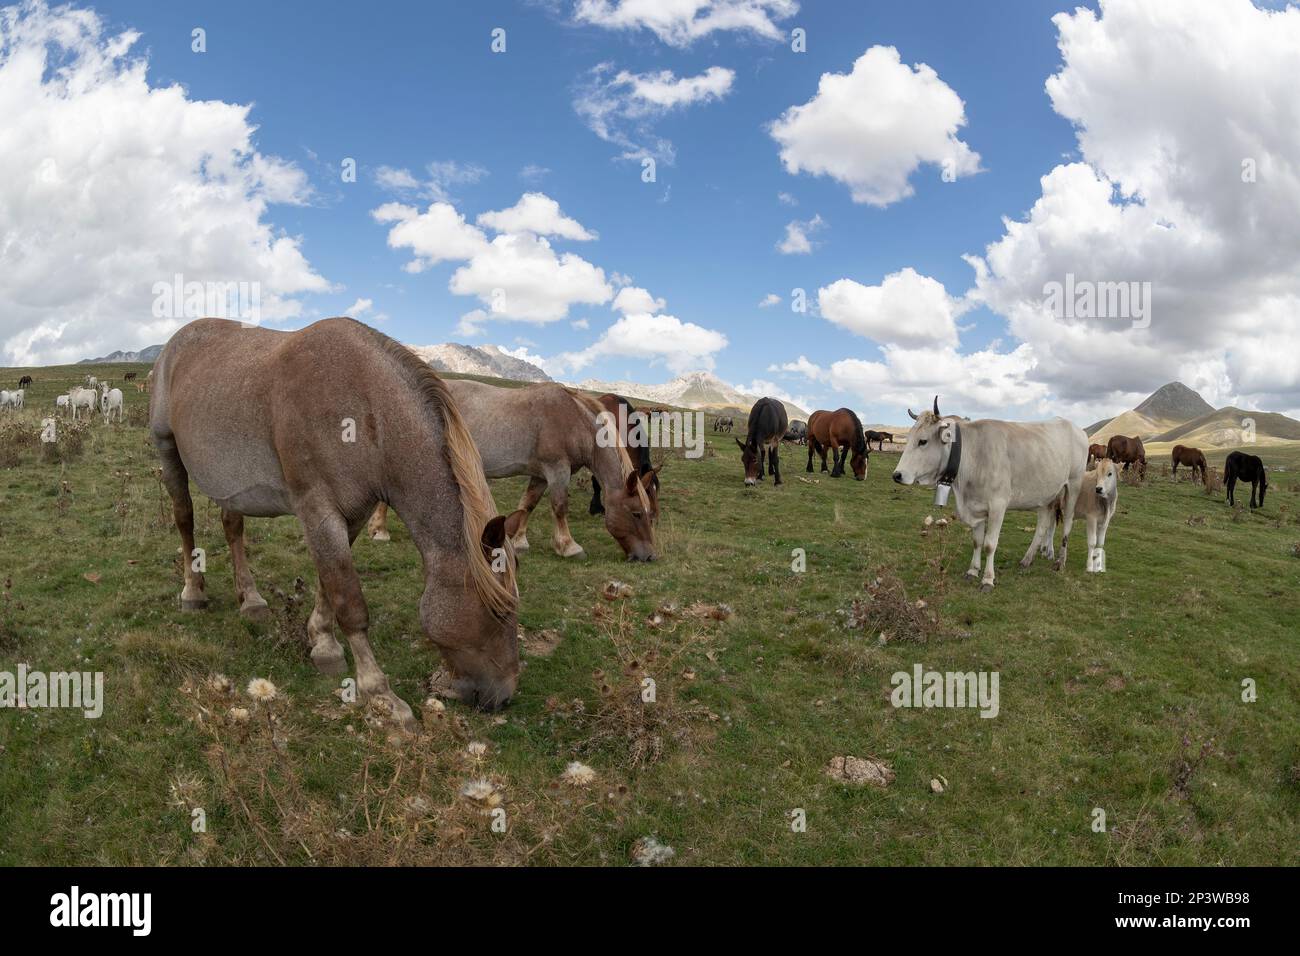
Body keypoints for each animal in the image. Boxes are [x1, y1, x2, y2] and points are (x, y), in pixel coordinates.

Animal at [148, 317, 522, 728]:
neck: (362, 409)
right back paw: (193, 591)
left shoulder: (352, 513)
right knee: (184, 519)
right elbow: (351, 603)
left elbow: (329, 583)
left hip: (230, 481)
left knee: (232, 527)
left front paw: (322, 642)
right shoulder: (318, 509)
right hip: (167, 449)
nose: (504, 695)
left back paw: (251, 599)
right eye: (499, 611)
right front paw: (381, 694)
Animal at [369, 382, 660, 561]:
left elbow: (527, 504)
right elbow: (559, 506)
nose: (649, 556)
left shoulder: (541, 474)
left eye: (649, 514)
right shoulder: (557, 469)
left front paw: (518, 541)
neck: (574, 420)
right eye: (636, 513)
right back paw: (380, 529)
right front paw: (568, 546)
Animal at [894, 395, 1086, 590]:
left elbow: (989, 544)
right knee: (1043, 525)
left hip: (1073, 484)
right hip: (1046, 494)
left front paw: (987, 579)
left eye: (922, 441)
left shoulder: (998, 505)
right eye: (908, 438)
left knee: (1067, 523)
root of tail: (1075, 427)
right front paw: (972, 570)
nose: (897, 475)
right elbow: (977, 541)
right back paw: (1027, 559)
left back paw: (1060, 561)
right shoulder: (975, 506)